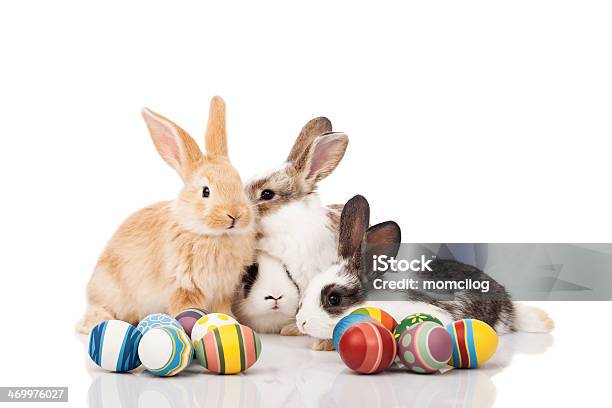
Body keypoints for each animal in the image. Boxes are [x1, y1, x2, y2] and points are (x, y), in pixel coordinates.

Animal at [77, 97, 256, 334]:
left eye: (238, 184)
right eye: (206, 191)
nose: (235, 215)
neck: (209, 235)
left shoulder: (221, 292)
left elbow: (223, 311)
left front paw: (233, 323)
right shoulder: (184, 288)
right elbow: (187, 310)